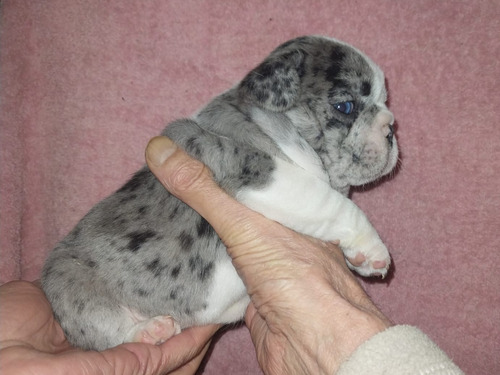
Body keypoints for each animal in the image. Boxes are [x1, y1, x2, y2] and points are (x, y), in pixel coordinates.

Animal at [42, 36, 398, 352]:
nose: (391, 127)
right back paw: (149, 332)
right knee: (105, 334)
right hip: (71, 288)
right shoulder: (262, 173)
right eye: (345, 106)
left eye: (384, 101)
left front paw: (359, 258)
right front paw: (372, 245)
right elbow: (333, 204)